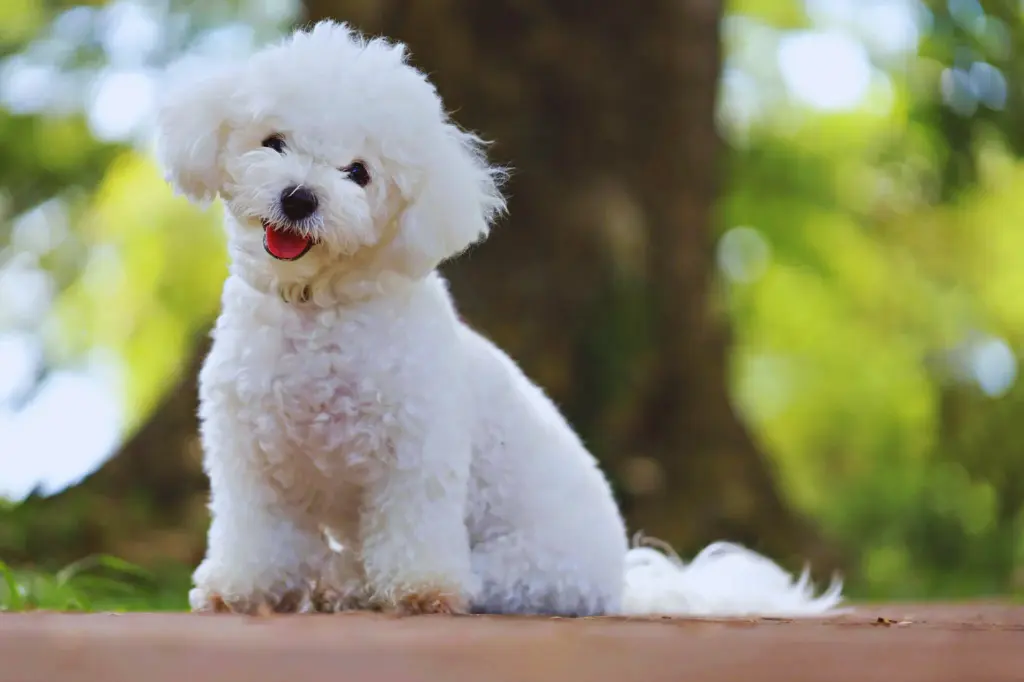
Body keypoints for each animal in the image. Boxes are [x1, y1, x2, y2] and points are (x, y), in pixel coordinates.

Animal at [151, 21, 839, 614]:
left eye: (359, 173)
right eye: (273, 142)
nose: (298, 198)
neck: (316, 308)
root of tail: (623, 582)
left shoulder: (416, 451)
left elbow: (414, 527)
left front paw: (419, 591)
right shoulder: (246, 456)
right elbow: (252, 531)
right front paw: (239, 587)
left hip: (523, 568)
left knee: (461, 578)